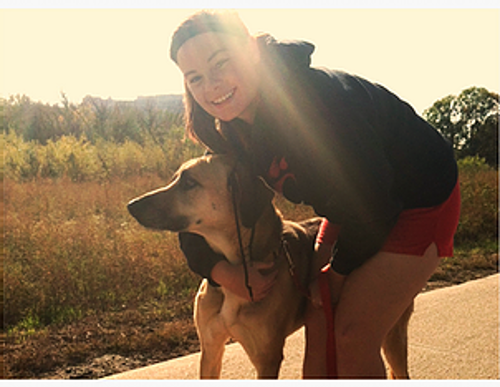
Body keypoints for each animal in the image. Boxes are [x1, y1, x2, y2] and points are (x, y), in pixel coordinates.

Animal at [127, 155, 412, 378]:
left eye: (189, 183)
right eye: (175, 178)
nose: (131, 206)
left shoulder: (267, 358)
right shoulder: (210, 349)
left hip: (387, 332)